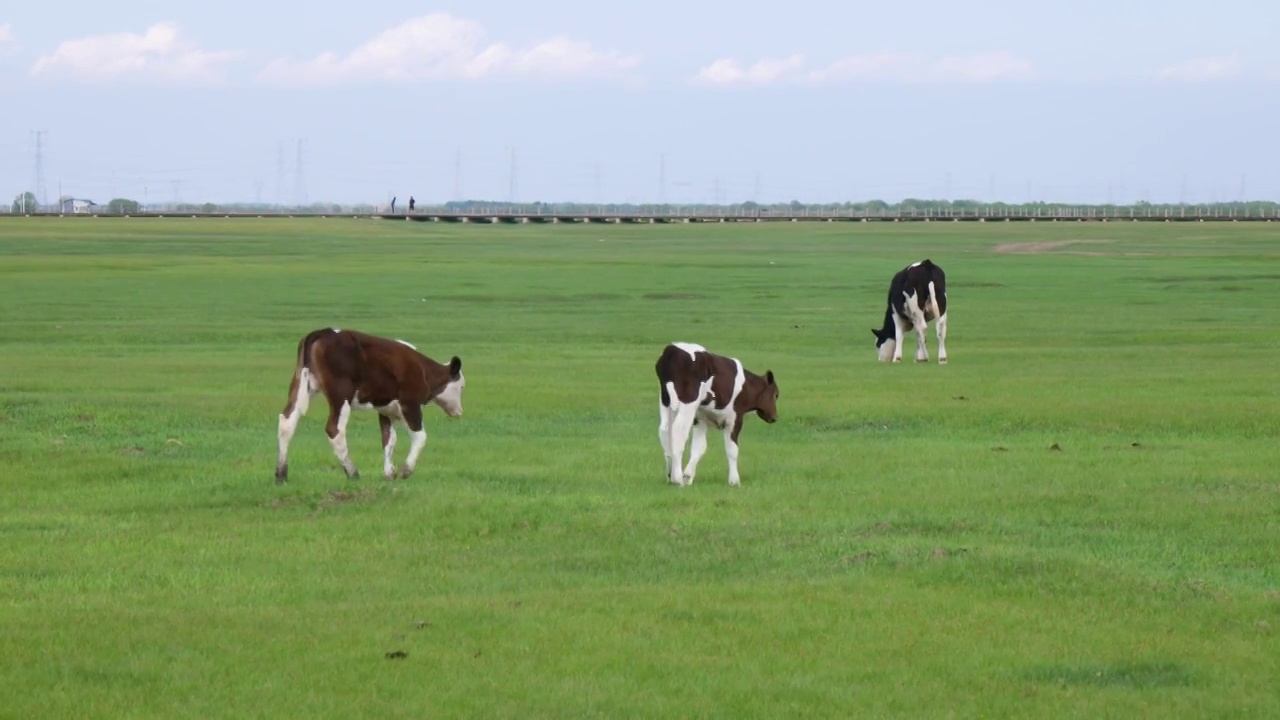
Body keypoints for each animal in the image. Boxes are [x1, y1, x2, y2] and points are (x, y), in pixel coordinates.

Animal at [275, 325, 465, 481]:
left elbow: (389, 439)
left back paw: (281, 474)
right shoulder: (410, 404)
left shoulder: (385, 409)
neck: (423, 370)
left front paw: (389, 474)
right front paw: (406, 470)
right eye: (462, 386)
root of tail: (324, 332)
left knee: (287, 422)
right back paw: (352, 472)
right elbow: (420, 436)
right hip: (340, 396)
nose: (460, 411)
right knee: (335, 430)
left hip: (302, 385)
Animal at [650, 340, 778, 484]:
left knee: (665, 430)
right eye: (776, 394)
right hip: (688, 403)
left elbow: (699, 447)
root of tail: (672, 349)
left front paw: (688, 476)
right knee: (678, 431)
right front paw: (734, 481)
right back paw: (677, 479)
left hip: (665, 401)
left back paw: (670, 475)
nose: (774, 417)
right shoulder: (735, 419)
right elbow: (732, 449)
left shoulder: (700, 418)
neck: (746, 386)